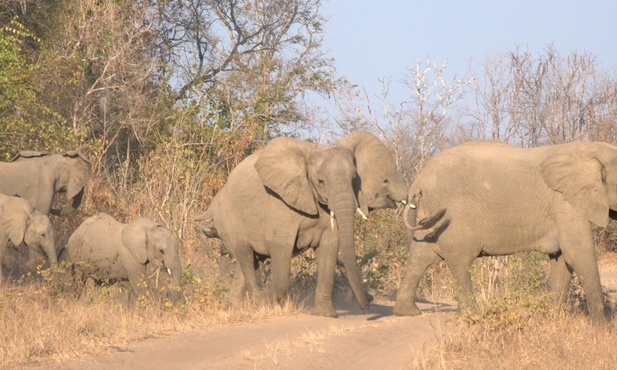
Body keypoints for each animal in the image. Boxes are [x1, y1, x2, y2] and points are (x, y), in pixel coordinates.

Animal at [195, 131, 406, 318]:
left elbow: (330, 245)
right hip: (229, 220)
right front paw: (269, 301)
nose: (367, 304)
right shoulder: (280, 202)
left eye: (354, 179)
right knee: (244, 254)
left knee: (247, 262)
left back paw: (238, 308)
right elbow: (281, 247)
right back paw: (257, 301)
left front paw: (326, 314)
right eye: (320, 181)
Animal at [394, 139, 616, 324]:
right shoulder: (566, 203)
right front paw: (601, 326)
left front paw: (553, 317)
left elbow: (561, 259)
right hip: (454, 218)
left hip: (429, 214)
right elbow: (578, 255)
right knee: (460, 261)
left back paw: (408, 312)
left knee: (420, 257)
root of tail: (418, 181)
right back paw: (472, 315)